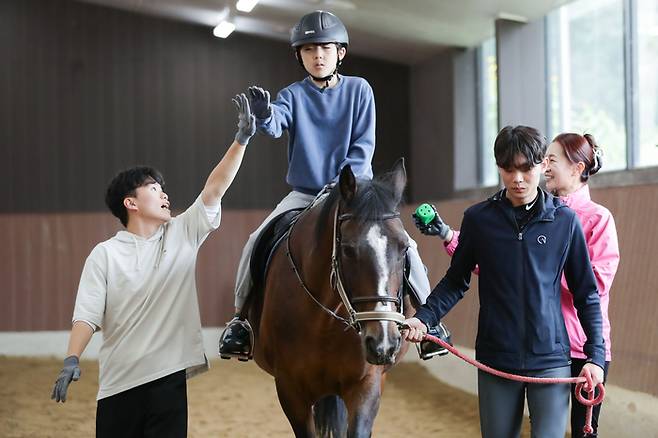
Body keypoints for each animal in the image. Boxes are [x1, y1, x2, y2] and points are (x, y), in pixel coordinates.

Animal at [249, 159, 412, 436]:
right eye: (347, 249)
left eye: (404, 247)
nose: (383, 344)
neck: (325, 318)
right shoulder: (290, 389)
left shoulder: (366, 384)